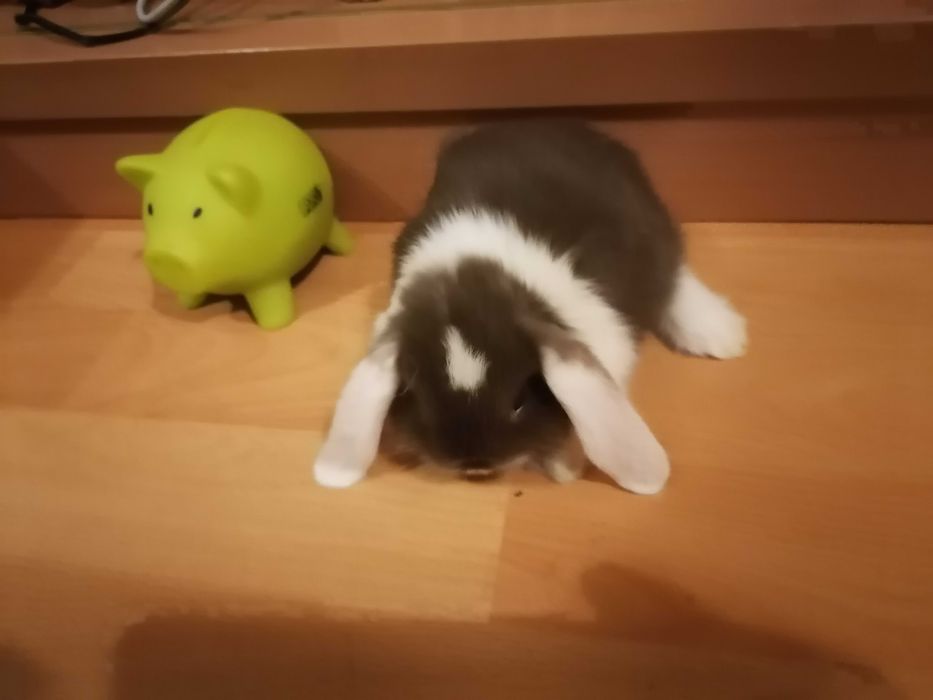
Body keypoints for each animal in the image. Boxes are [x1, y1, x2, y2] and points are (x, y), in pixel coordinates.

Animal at [313, 120, 747, 493]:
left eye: (519, 400)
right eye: (421, 398)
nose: (476, 465)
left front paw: (563, 468)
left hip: (653, 232)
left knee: (674, 277)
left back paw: (723, 336)